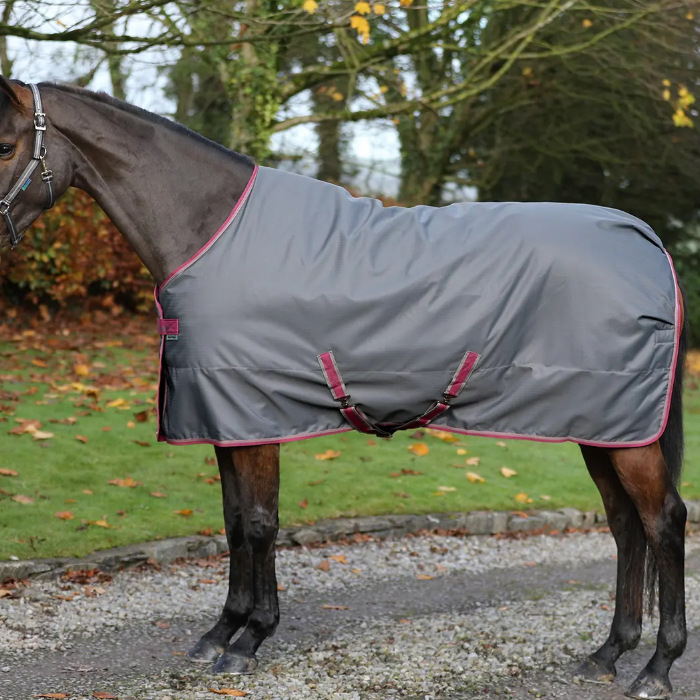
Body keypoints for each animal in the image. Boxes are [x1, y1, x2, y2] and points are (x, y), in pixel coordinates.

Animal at [0, 77, 688, 700]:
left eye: (6, 144)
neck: (210, 231)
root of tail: (649, 242)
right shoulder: (225, 420)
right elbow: (232, 523)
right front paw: (220, 632)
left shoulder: (257, 418)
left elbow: (259, 524)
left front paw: (250, 639)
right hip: (601, 427)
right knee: (625, 525)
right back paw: (607, 654)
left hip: (627, 434)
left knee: (664, 521)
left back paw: (656, 668)